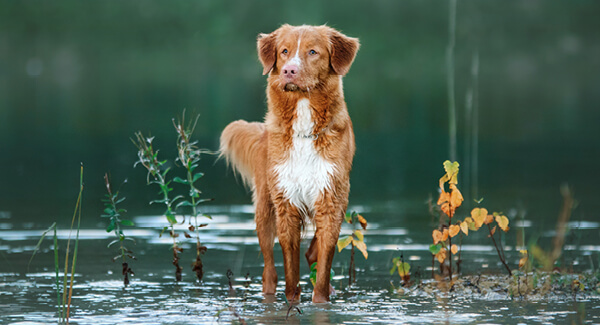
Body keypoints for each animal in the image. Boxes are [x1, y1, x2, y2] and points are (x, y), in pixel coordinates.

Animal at [221, 24, 358, 302]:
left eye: (313, 52)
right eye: (284, 51)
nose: (289, 71)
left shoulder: (331, 196)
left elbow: (323, 260)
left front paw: (320, 300)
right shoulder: (285, 202)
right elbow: (290, 266)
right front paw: (292, 301)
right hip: (264, 209)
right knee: (269, 270)